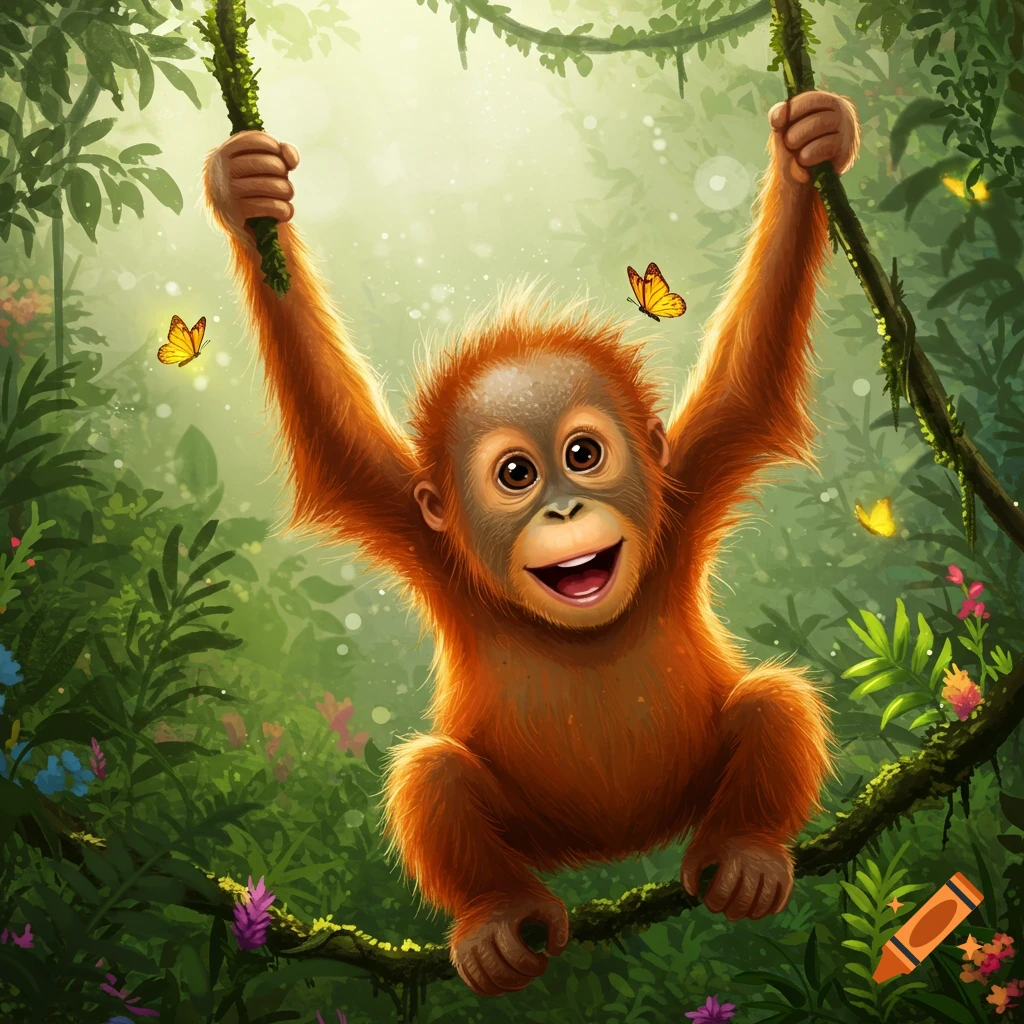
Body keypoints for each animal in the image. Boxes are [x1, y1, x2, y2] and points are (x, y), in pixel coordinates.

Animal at [204, 90, 859, 997]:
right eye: (516, 473)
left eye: (583, 454)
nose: (561, 508)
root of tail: (619, 846)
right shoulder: (424, 532)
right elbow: (335, 443)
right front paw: (245, 190)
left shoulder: (685, 490)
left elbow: (750, 386)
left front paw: (810, 144)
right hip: (535, 833)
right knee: (433, 774)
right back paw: (498, 923)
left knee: (773, 700)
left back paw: (745, 856)